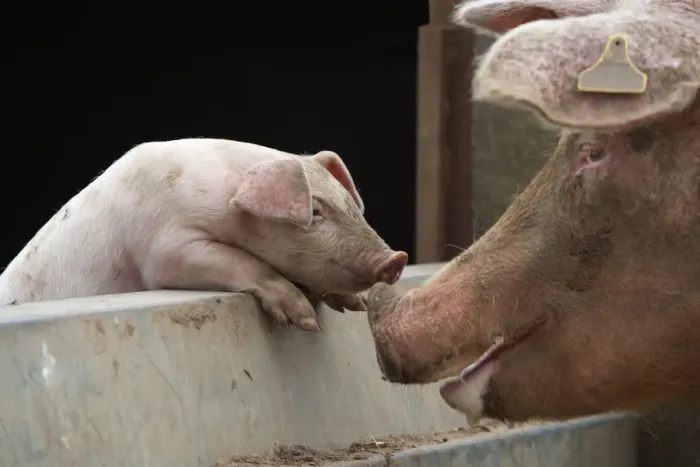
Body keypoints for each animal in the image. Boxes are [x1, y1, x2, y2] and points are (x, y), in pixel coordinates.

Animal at [0, 138, 408, 331]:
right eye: (315, 211)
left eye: (350, 204)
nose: (396, 258)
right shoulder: (165, 247)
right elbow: (238, 261)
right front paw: (306, 322)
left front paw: (354, 305)